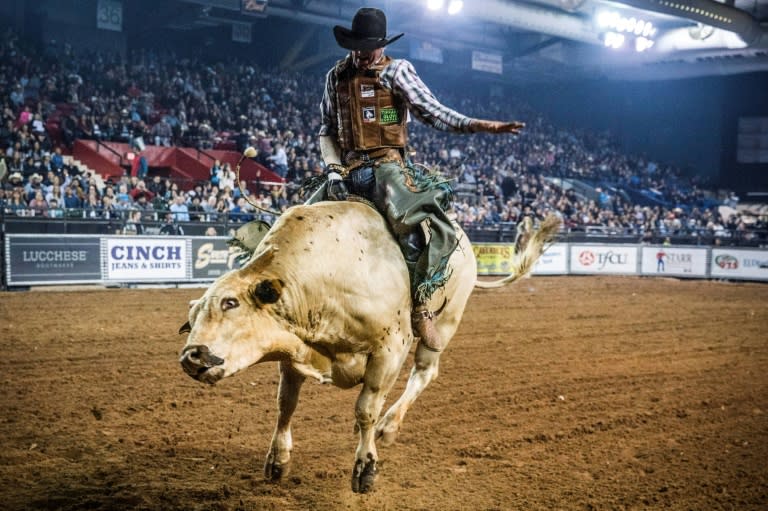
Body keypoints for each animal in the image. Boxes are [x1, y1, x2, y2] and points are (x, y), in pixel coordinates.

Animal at [177, 200, 556, 492]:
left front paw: (366, 467)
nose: (191, 356)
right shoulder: (294, 350)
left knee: (424, 373)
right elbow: (286, 404)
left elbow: (366, 409)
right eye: (192, 316)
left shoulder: (390, 349)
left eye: (230, 303)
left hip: (445, 323)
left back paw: (389, 427)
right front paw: (278, 460)